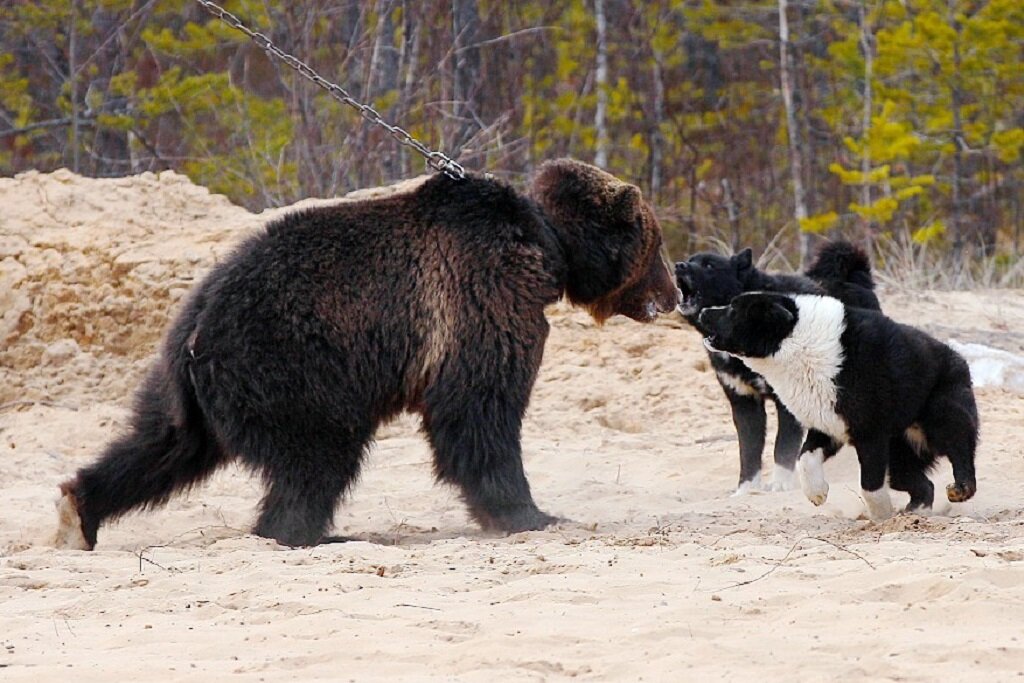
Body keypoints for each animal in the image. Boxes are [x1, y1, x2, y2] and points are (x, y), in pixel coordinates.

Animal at [54, 158, 679, 548]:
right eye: (658, 244)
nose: (676, 294)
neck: (547, 247)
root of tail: (198, 323)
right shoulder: (481, 298)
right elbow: (479, 411)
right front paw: (530, 513)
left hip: (185, 383)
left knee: (162, 444)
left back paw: (79, 507)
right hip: (292, 364)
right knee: (319, 455)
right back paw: (311, 532)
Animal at [675, 242, 884, 493]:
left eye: (709, 265)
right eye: (690, 260)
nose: (678, 265)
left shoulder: (787, 403)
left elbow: (782, 447)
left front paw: (781, 483)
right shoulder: (744, 403)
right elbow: (749, 452)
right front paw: (746, 489)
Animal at [700, 290, 978, 520]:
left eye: (733, 310)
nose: (703, 312)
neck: (796, 341)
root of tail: (959, 359)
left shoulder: (870, 435)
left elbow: (869, 486)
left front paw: (881, 518)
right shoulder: (828, 426)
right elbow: (805, 458)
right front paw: (817, 493)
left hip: (942, 417)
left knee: (961, 452)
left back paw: (960, 489)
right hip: (899, 458)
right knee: (924, 486)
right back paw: (914, 513)